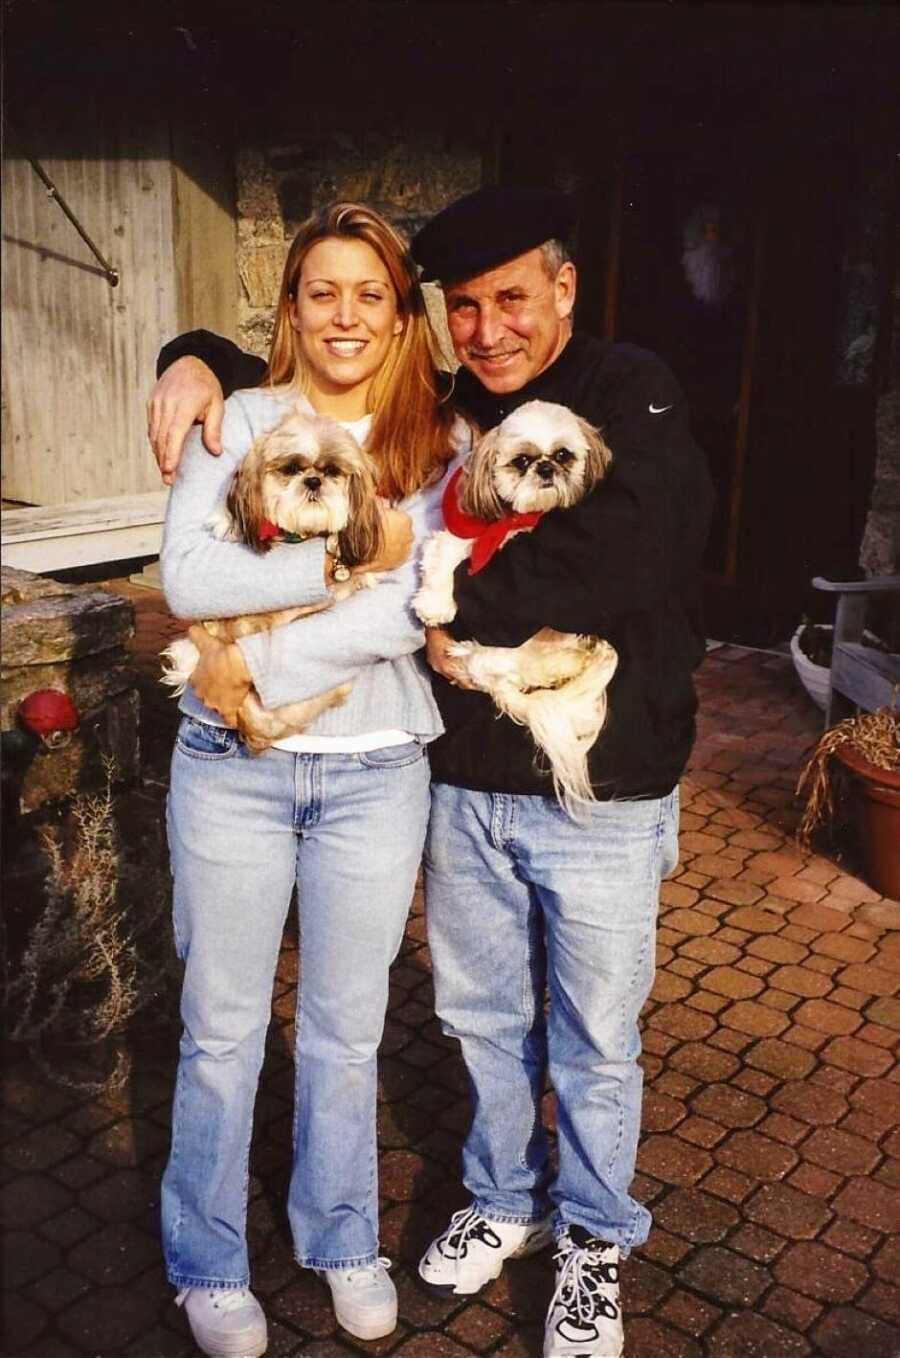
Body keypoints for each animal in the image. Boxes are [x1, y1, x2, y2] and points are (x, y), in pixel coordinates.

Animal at [415, 396, 619, 809]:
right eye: (522, 460)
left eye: (563, 454)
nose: (546, 468)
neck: (515, 523)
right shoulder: (468, 534)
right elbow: (443, 557)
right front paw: (434, 604)